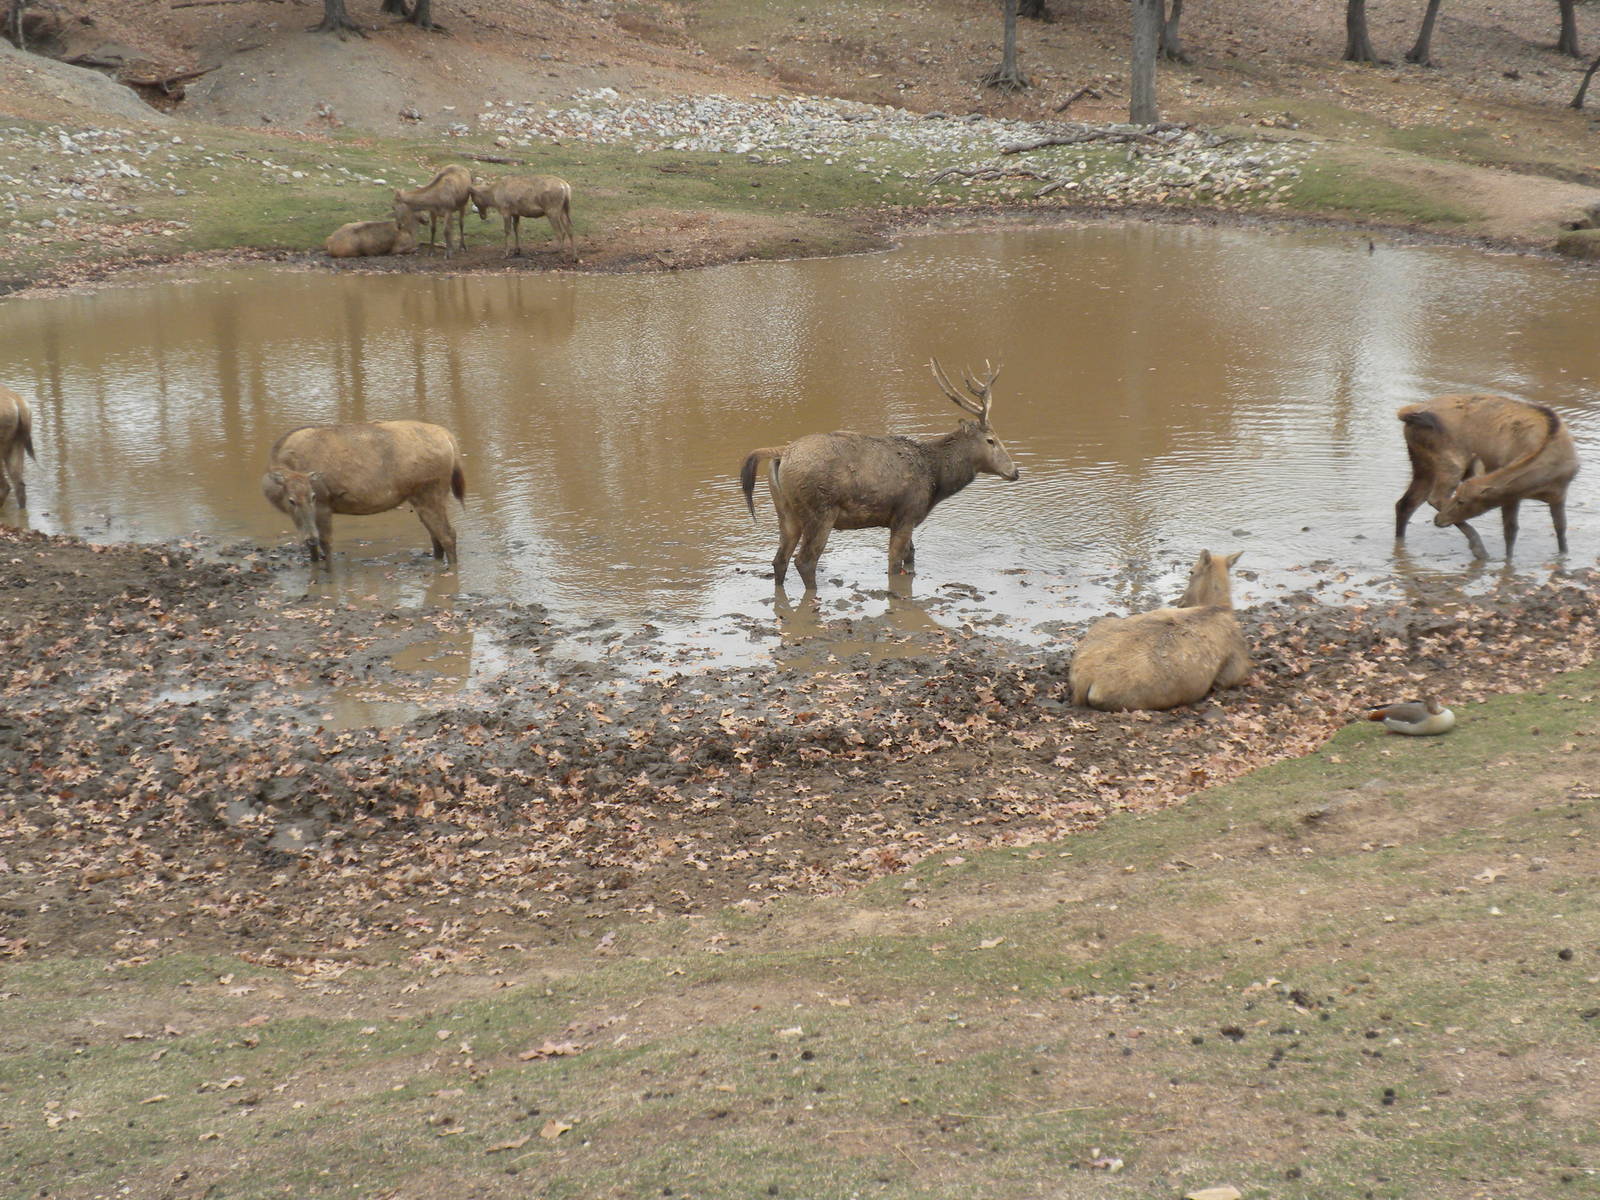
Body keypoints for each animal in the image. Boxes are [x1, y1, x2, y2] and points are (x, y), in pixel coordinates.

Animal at [740, 359, 1020, 592]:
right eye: (991, 440)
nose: (1014, 471)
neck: (935, 479)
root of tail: (782, 453)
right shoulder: (907, 512)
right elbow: (894, 563)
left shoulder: (904, 519)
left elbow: (910, 557)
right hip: (821, 510)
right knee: (805, 560)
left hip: (786, 512)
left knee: (779, 560)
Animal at [1069, 550, 1252, 712]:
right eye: (1191, 570)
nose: (1181, 603)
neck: (1222, 607)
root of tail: (1084, 679)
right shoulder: (1236, 668)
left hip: (1103, 623)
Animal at [1395, 393, 1579, 559]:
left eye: (1462, 501)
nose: (1437, 520)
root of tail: (1406, 413)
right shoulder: (1511, 496)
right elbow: (1510, 531)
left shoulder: (1558, 493)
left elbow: (1560, 528)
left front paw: (1563, 555)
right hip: (1450, 461)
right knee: (1434, 498)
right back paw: (1478, 547)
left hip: (1422, 464)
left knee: (1405, 503)